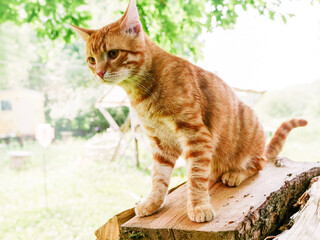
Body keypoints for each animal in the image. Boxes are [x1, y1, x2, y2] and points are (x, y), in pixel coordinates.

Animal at [70, 0, 308, 223]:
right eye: (91, 60)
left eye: (113, 53)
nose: (99, 73)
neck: (143, 92)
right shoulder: (161, 143)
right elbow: (159, 178)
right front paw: (153, 202)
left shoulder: (196, 135)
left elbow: (195, 177)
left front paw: (198, 206)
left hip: (250, 133)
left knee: (257, 165)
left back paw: (235, 174)